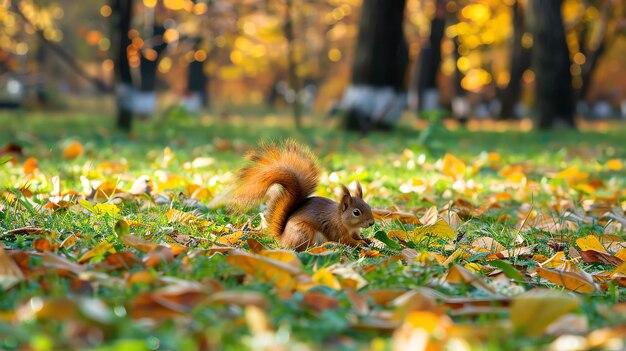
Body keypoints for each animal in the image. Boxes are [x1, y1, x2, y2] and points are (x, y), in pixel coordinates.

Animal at [232, 140, 372, 250]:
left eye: (369, 206)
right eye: (356, 212)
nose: (371, 223)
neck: (344, 221)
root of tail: (283, 239)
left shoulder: (354, 231)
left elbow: (356, 236)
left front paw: (366, 239)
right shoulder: (335, 228)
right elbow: (345, 240)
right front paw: (360, 243)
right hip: (304, 231)